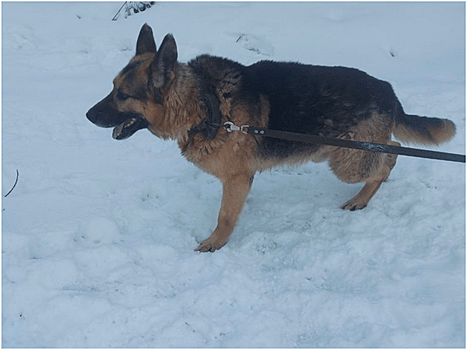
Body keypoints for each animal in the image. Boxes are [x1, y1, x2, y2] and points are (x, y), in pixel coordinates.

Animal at [87, 23, 458, 252]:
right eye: (112, 87)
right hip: (340, 153)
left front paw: (215, 242)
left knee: (389, 153)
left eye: (123, 95)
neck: (204, 103)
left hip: (346, 161)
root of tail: (389, 92)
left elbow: (225, 216)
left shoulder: (236, 178)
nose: (88, 115)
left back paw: (362, 197)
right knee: (391, 148)